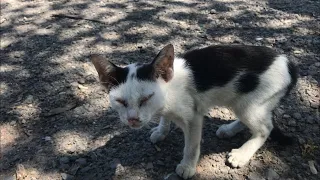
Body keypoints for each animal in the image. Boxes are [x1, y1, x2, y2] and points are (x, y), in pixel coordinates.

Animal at [90, 44, 298, 179]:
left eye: (146, 98)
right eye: (120, 101)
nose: (132, 119)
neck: (169, 91)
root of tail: (289, 63)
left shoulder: (194, 116)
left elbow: (191, 145)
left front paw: (187, 166)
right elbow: (165, 118)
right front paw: (161, 130)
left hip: (250, 103)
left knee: (265, 128)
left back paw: (242, 154)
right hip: (245, 102)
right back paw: (229, 130)